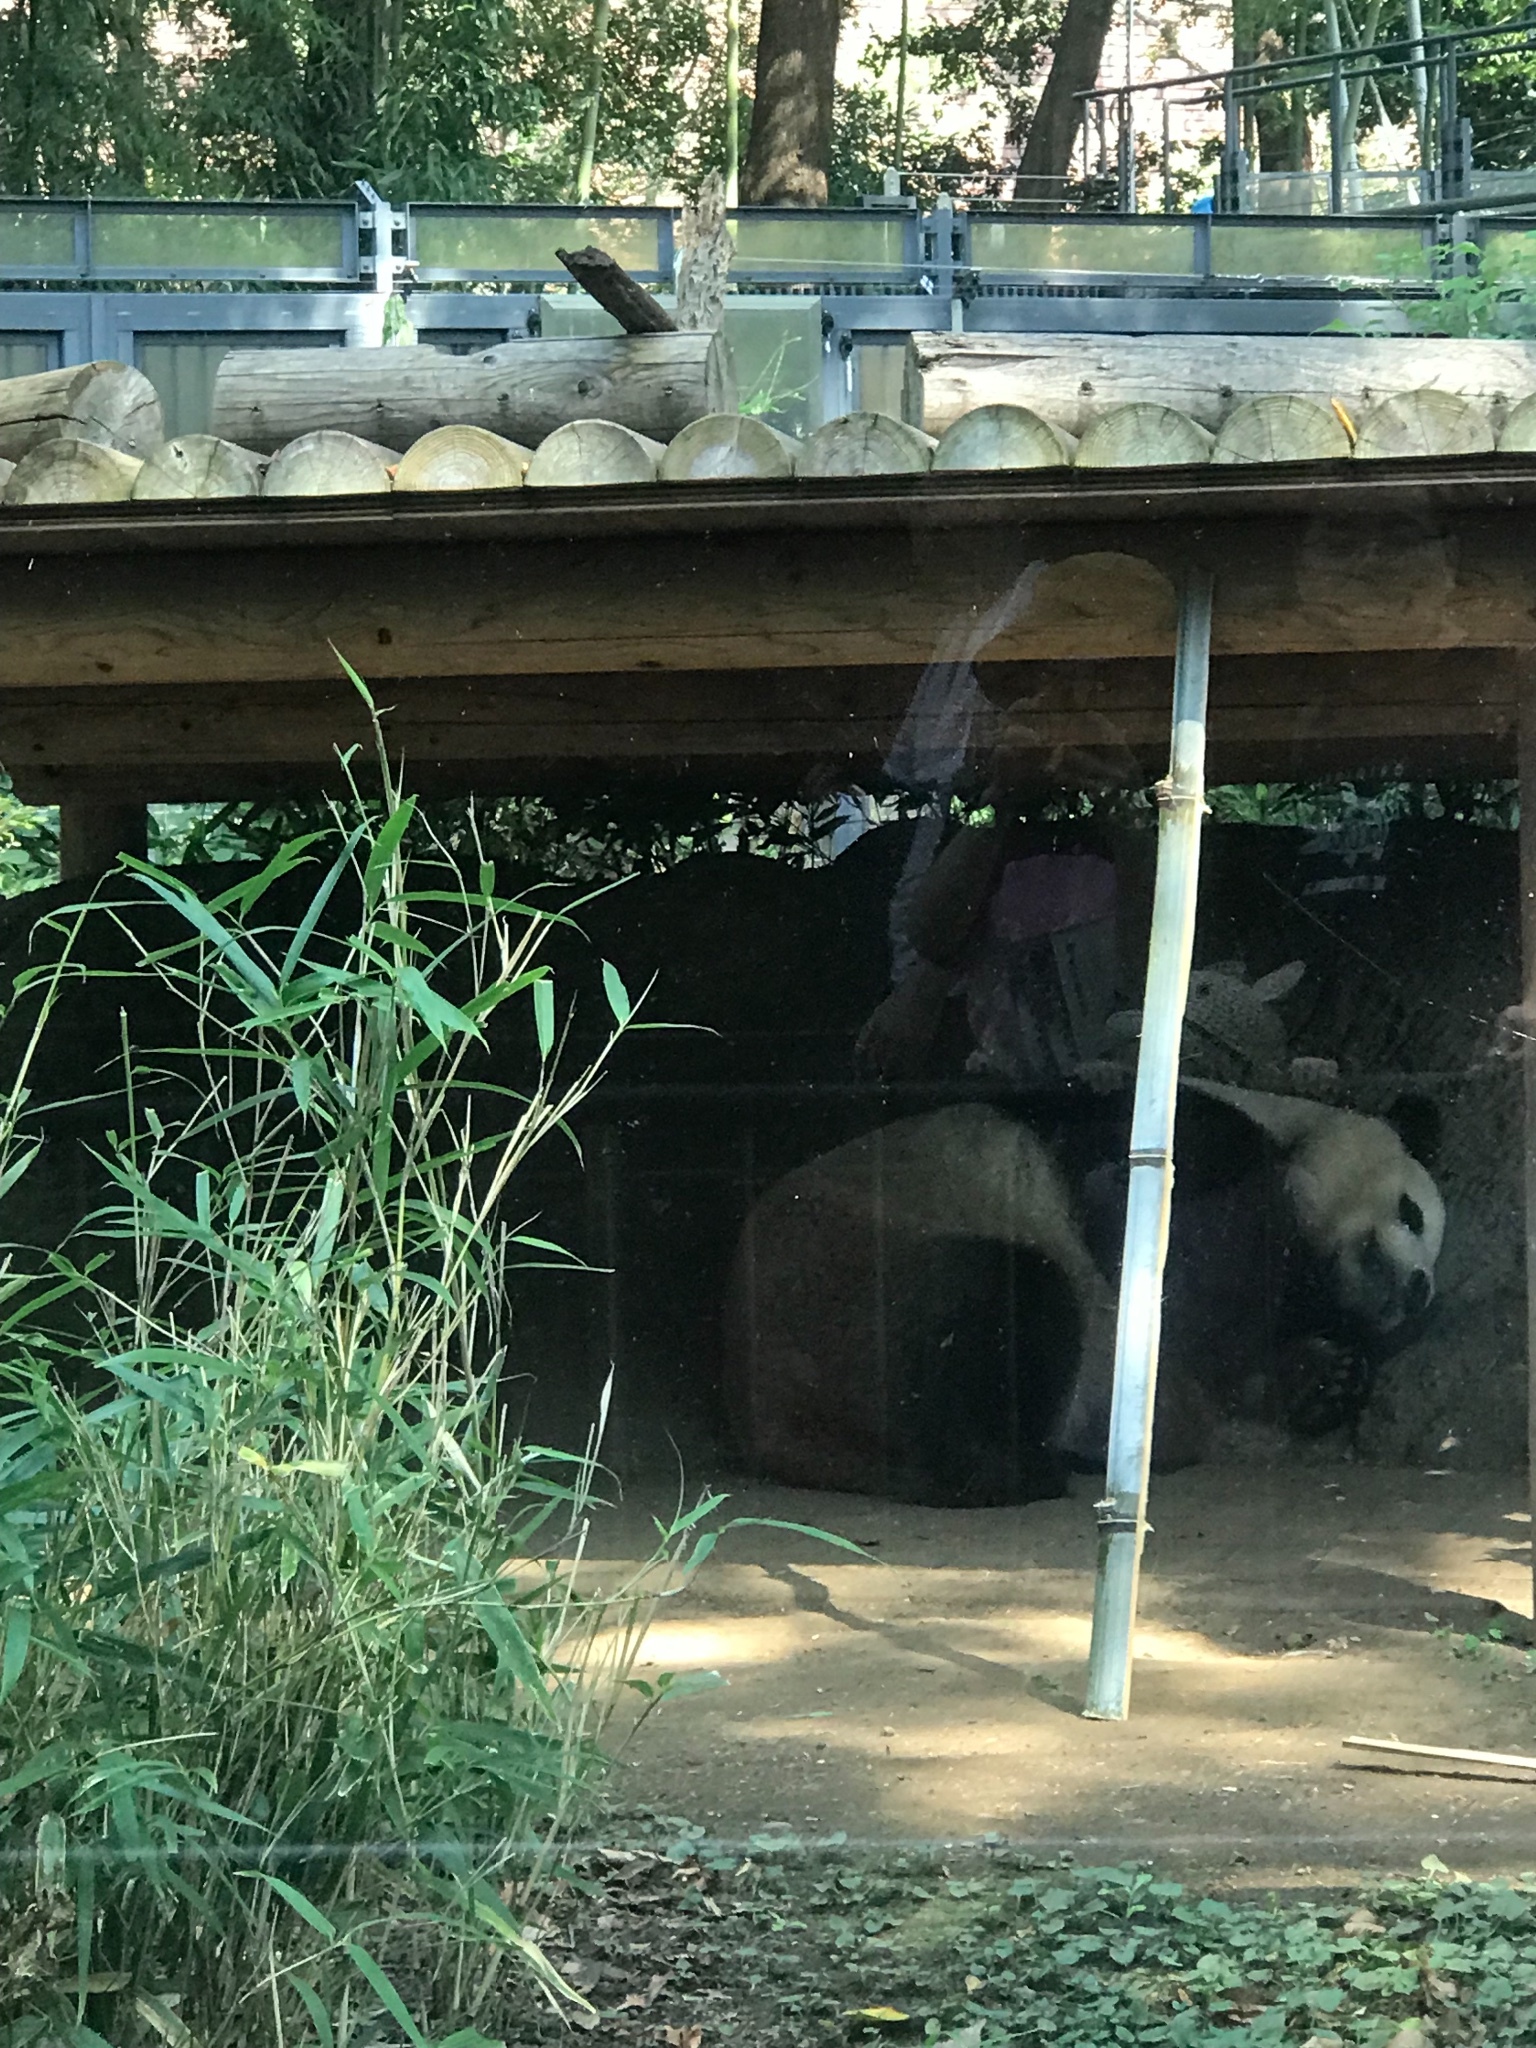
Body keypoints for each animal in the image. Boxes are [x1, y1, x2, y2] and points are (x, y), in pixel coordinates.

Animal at [720, 1089, 1441, 1507]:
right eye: (1412, 1213)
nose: (1420, 1289)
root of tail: (765, 1423)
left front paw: (1328, 1377)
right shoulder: (1192, 1142)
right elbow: (1121, 1205)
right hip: (856, 1276)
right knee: (1010, 1296)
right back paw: (1013, 1470)